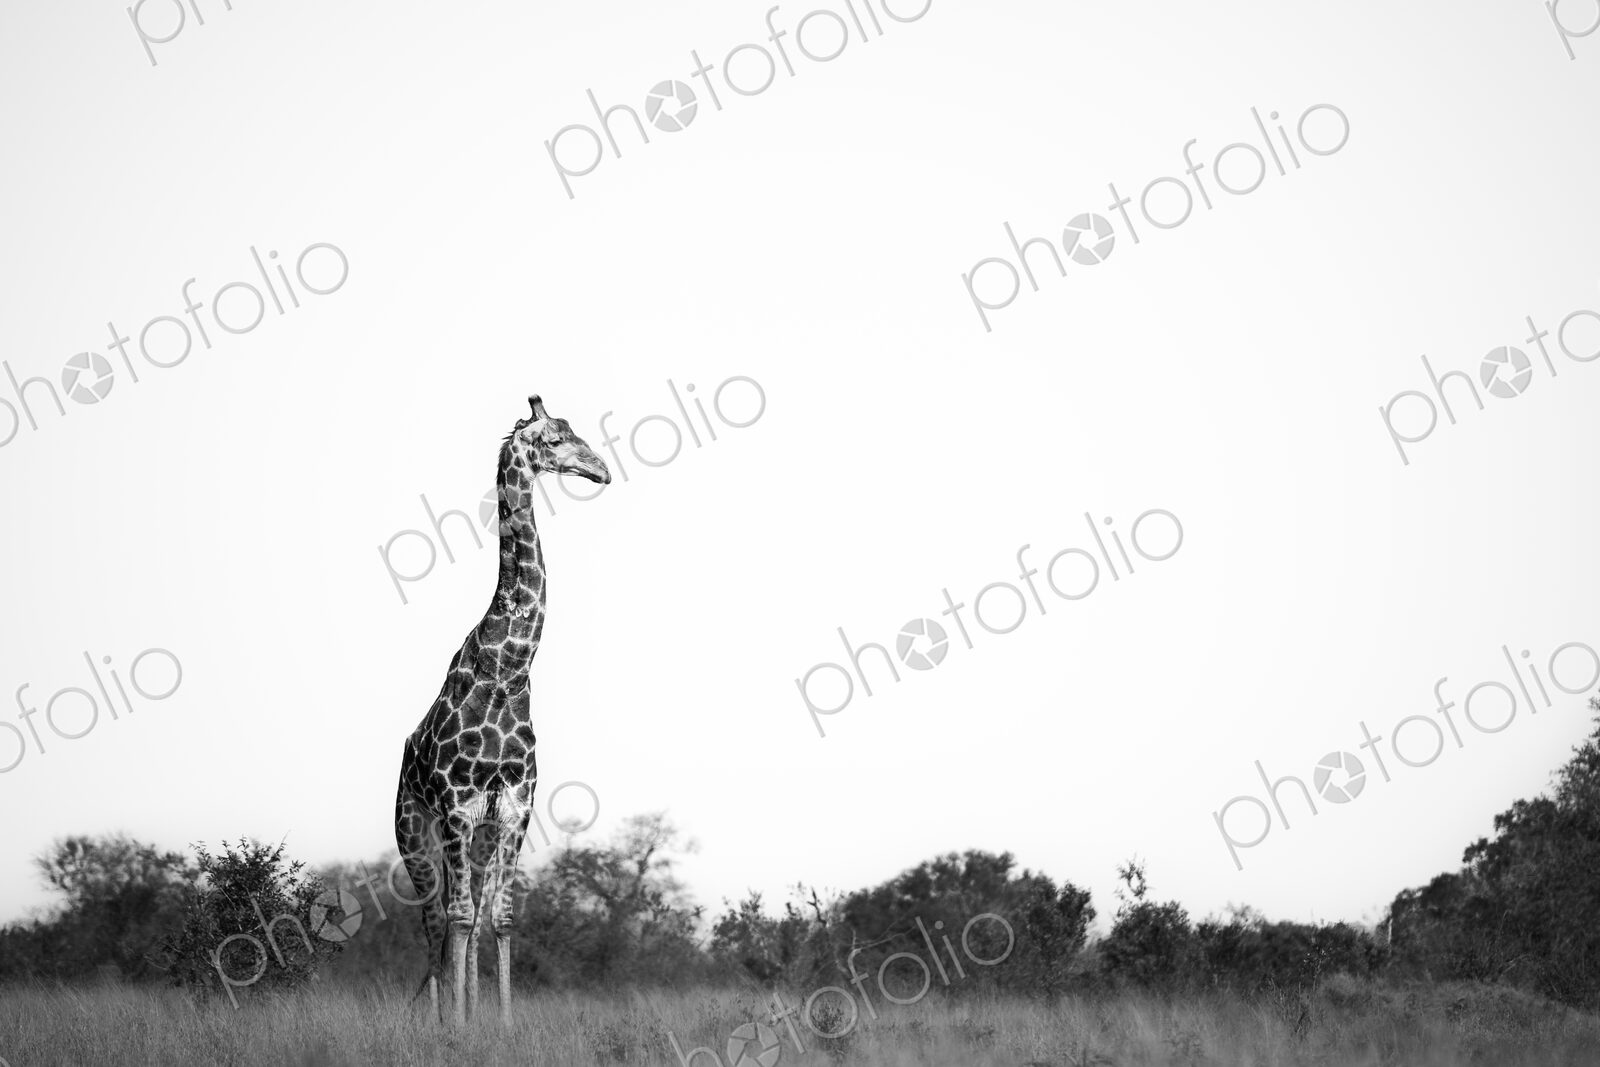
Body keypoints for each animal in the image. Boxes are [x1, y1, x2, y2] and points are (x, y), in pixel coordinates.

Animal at [393, 394, 610, 1026]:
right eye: (556, 440)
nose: (602, 471)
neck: (508, 670)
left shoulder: (514, 808)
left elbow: (503, 918)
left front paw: (503, 1024)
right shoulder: (456, 807)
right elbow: (461, 917)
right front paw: (459, 1028)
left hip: (476, 836)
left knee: (460, 915)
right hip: (415, 829)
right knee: (435, 919)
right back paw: (442, 1018)